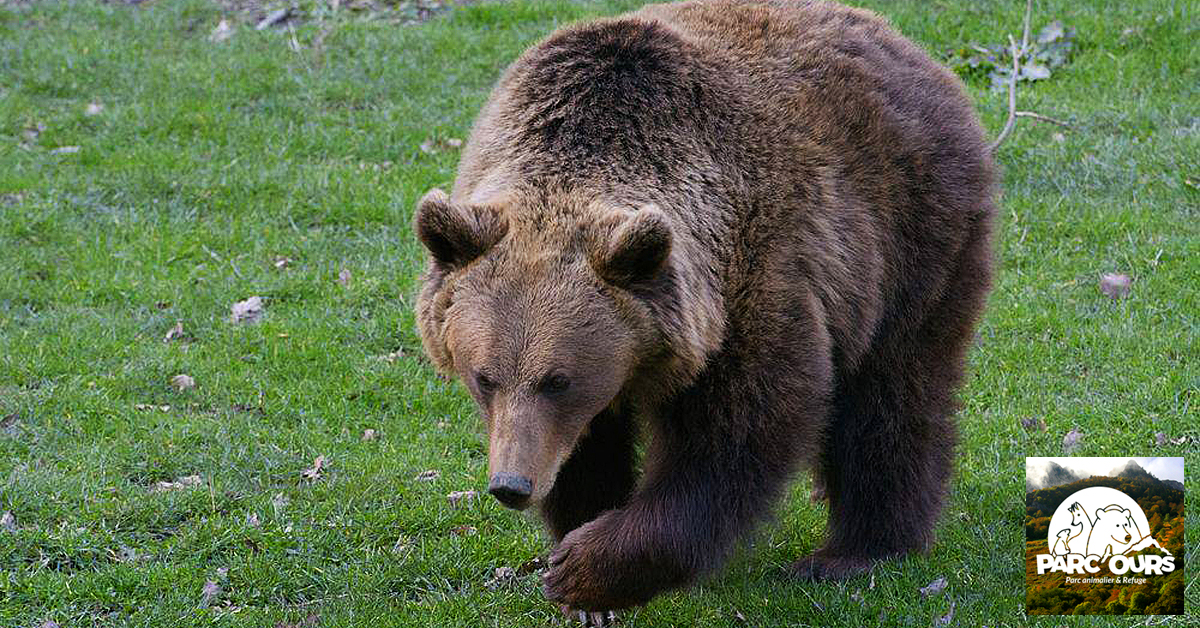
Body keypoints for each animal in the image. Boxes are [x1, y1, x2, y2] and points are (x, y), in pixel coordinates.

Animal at [412, 0, 993, 614]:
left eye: (558, 380)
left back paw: (857, 550)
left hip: (908, 235)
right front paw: (580, 550)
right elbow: (586, 450)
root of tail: (905, 45)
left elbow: (741, 432)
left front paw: (585, 567)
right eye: (484, 377)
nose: (511, 485)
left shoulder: (750, 281)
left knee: (893, 391)